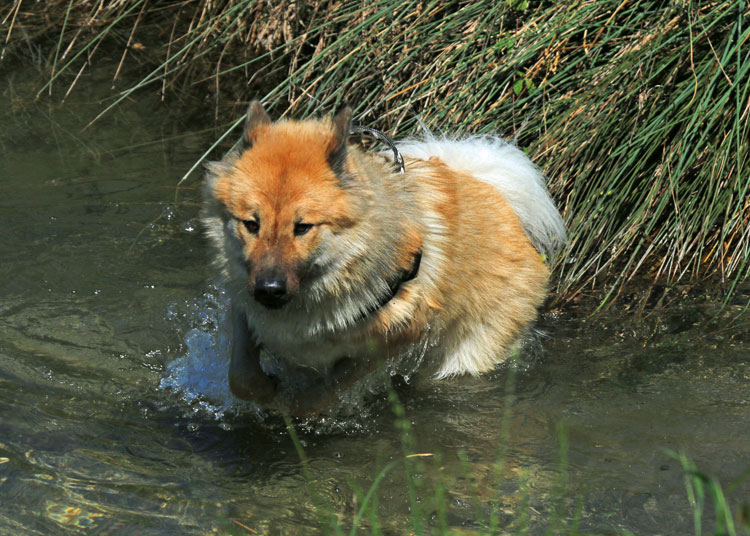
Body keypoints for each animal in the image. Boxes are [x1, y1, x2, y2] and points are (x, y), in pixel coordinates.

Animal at [203, 101, 568, 414]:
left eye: (302, 227)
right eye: (252, 224)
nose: (269, 289)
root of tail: (498, 197)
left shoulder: (395, 336)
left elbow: (322, 393)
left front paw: (295, 408)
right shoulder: (244, 305)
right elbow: (241, 376)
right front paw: (267, 390)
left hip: (463, 355)